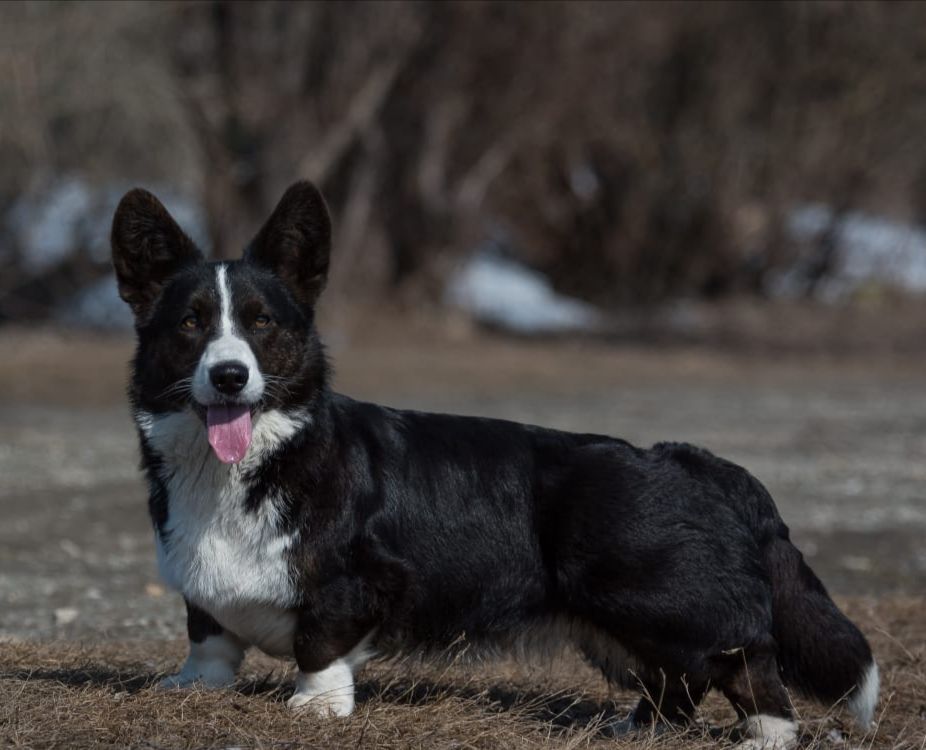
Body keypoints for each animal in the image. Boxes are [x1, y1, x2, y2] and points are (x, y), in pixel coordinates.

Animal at [112, 181, 880, 748]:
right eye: (191, 323)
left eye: (262, 322)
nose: (230, 375)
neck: (247, 465)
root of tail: (707, 467)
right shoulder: (202, 593)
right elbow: (209, 637)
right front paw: (193, 686)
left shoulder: (352, 585)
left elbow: (320, 644)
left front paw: (317, 708)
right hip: (621, 622)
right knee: (675, 681)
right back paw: (633, 729)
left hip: (656, 600)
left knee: (746, 662)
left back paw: (762, 737)